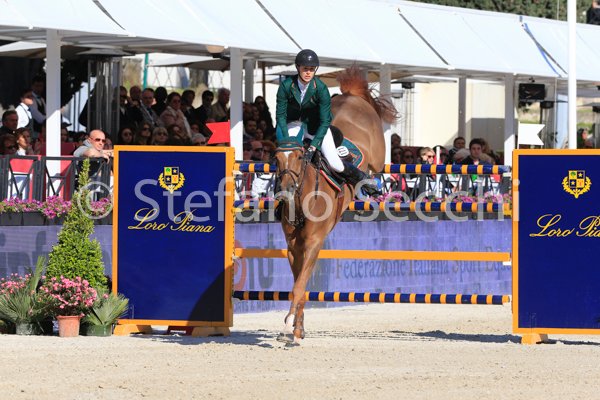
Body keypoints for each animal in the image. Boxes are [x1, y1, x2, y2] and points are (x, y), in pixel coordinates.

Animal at [273, 66, 397, 343]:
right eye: (276, 158)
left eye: (299, 157)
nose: (286, 191)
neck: (303, 198)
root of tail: (352, 96)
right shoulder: (293, 246)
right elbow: (299, 284)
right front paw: (298, 328)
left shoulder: (314, 243)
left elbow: (299, 286)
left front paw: (289, 325)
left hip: (377, 155)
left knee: (371, 166)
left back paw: (370, 185)